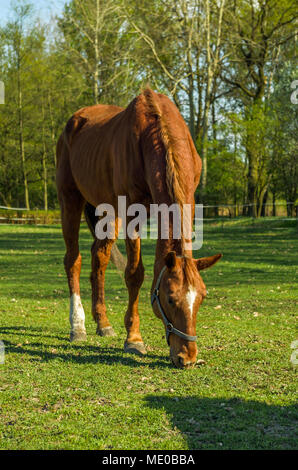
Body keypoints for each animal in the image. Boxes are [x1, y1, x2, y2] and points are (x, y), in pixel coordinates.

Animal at [56, 87, 221, 368]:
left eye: (202, 297)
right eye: (169, 298)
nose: (187, 357)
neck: (152, 135)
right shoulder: (133, 213)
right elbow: (134, 274)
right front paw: (133, 338)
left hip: (108, 212)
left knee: (99, 257)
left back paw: (103, 322)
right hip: (70, 200)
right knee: (73, 260)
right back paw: (77, 326)